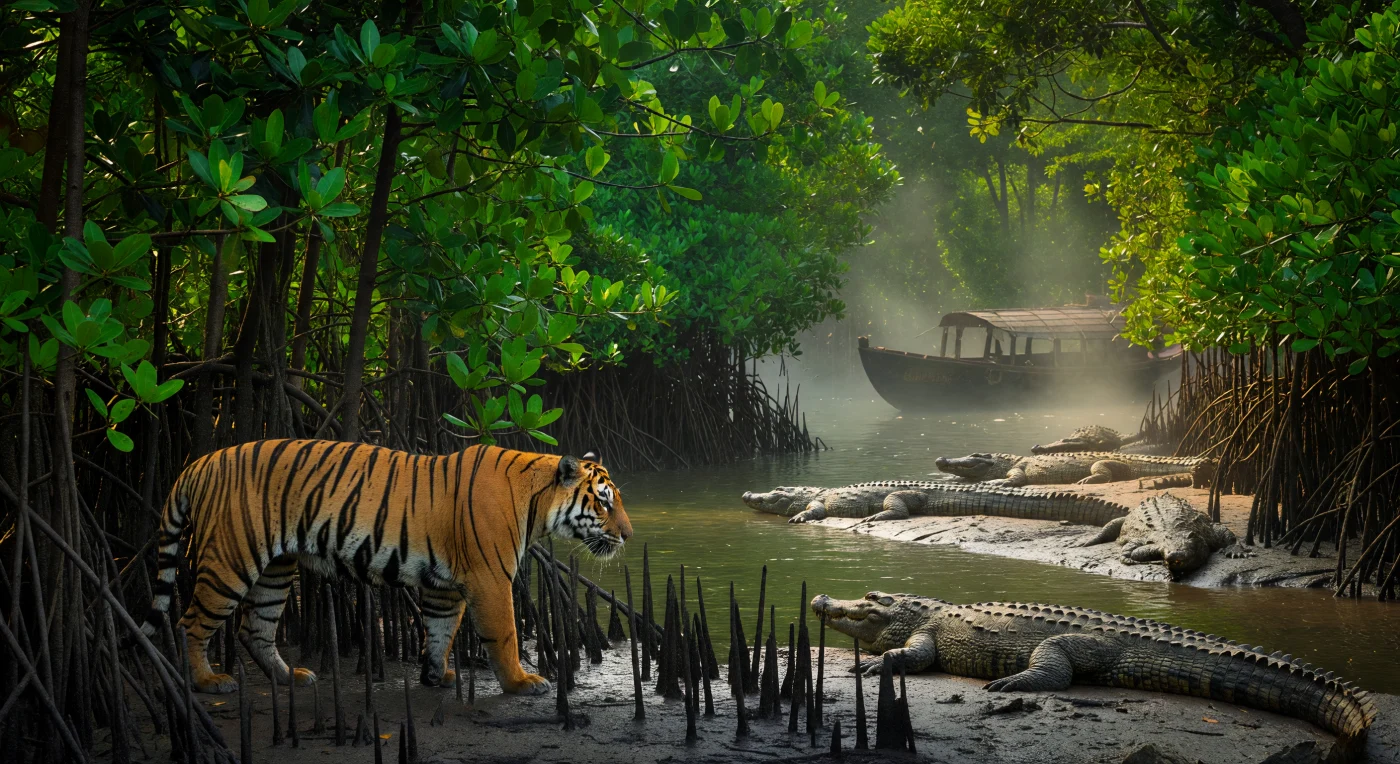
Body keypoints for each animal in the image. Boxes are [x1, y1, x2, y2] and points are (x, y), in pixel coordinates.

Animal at [140, 439, 631, 695]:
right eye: (604, 502)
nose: (628, 534)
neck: (538, 504)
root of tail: (201, 461)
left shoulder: (444, 586)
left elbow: (441, 630)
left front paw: (436, 675)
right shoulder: (490, 579)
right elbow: (504, 634)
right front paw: (522, 681)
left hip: (275, 569)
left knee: (253, 628)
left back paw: (291, 677)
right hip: (230, 561)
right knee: (189, 623)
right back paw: (209, 681)